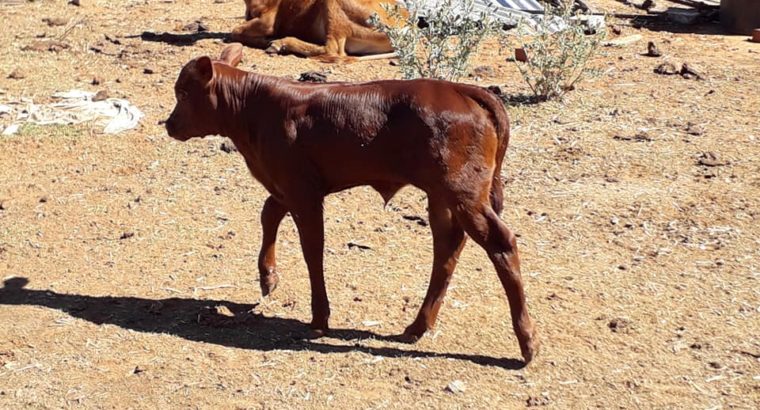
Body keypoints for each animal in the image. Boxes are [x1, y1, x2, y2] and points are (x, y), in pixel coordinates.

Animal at [164, 45, 540, 364]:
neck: (253, 111)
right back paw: (417, 326)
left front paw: (319, 316)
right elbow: (269, 213)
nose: (169, 124)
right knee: (448, 247)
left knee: (500, 243)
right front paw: (268, 278)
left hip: (463, 191)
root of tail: (463, 90)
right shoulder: (289, 186)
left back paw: (527, 342)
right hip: (442, 196)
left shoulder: (302, 191)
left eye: (183, 93)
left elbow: (312, 249)